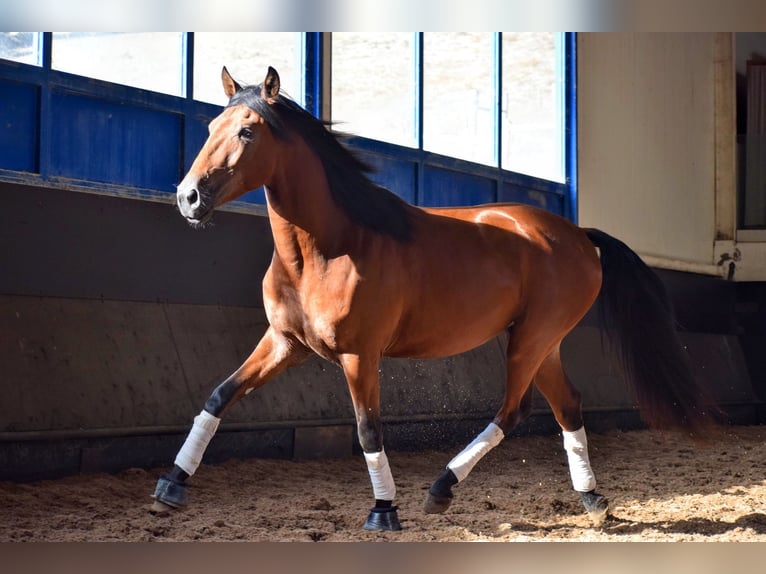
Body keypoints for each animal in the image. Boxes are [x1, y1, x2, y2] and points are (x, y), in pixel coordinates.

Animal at [152, 66, 720, 532]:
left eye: (248, 130)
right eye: (210, 128)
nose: (188, 197)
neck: (330, 247)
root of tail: (578, 234)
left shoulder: (360, 355)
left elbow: (368, 430)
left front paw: (384, 511)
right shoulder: (285, 344)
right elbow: (219, 396)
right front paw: (170, 488)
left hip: (532, 338)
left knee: (514, 411)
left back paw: (442, 489)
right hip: (544, 342)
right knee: (568, 406)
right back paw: (593, 501)